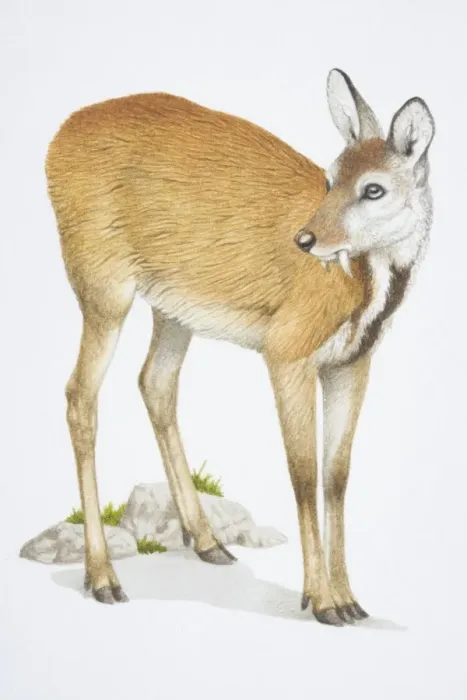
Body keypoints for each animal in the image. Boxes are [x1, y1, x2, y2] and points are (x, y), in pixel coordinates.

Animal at [45, 69, 435, 626]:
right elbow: (302, 473)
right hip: (102, 284)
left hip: (172, 307)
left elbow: (336, 476)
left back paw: (207, 541)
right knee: (80, 394)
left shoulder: (351, 363)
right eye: (330, 178)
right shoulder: (287, 348)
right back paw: (103, 579)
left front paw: (350, 600)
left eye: (373, 188)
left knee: (154, 382)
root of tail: (57, 139)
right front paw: (321, 601)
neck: (356, 288)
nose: (306, 239)